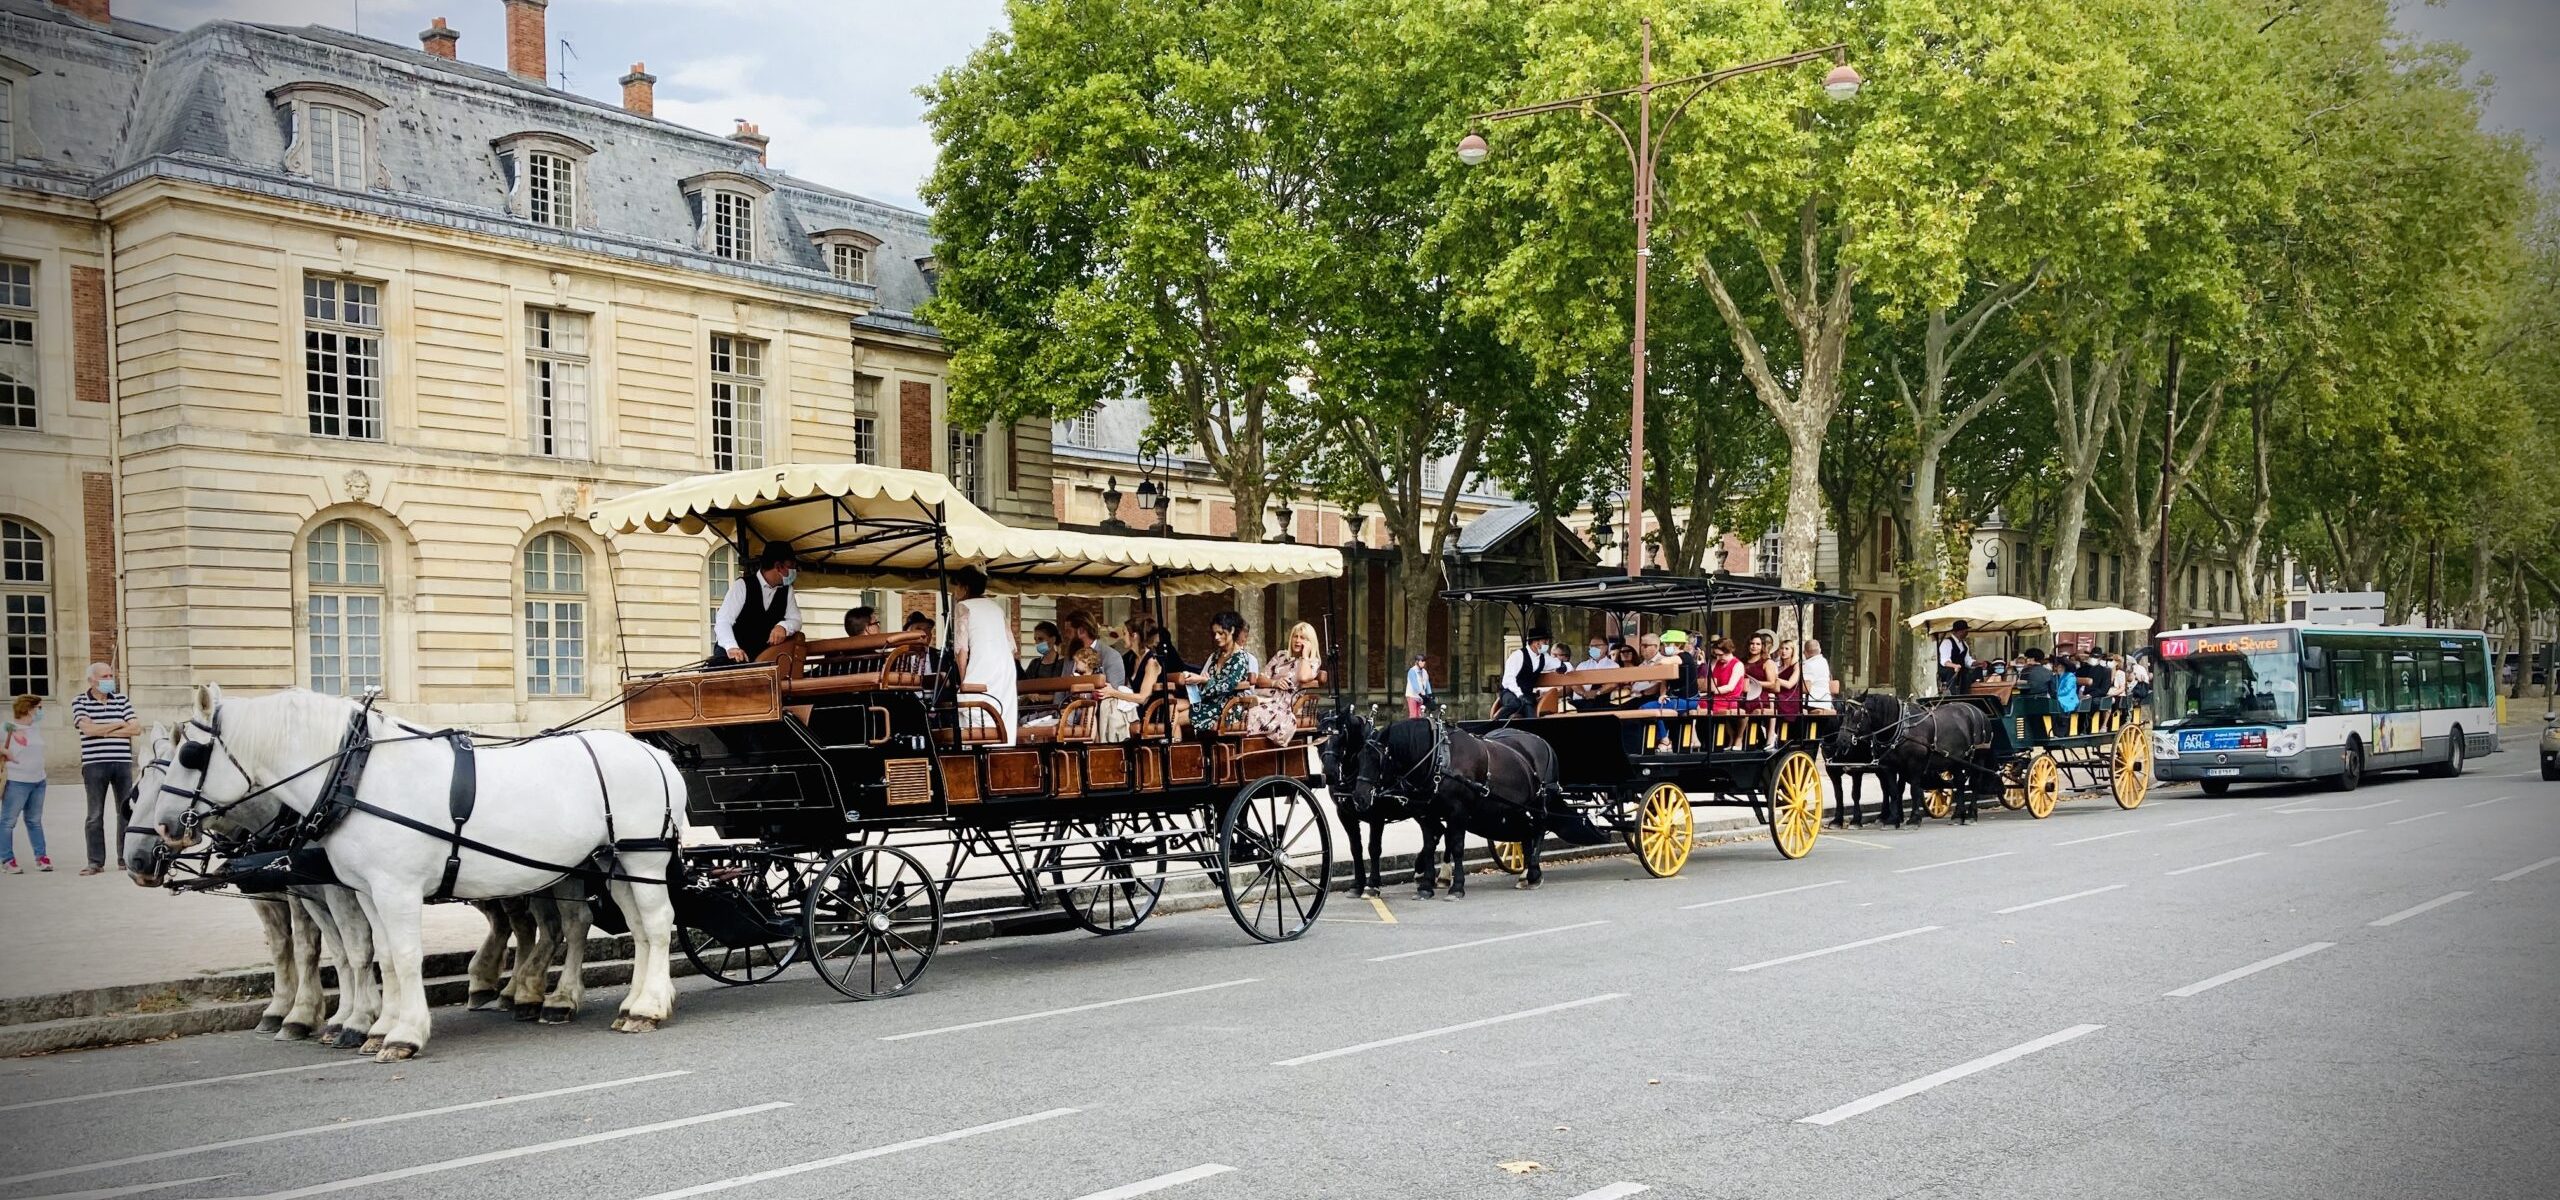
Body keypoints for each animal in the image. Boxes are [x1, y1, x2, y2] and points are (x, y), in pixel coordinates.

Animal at [140, 680, 680, 1059]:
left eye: (190, 754)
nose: (162, 831)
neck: (355, 778)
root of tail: (653, 753)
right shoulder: (364, 891)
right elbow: (377, 954)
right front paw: (378, 1027)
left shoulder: (393, 889)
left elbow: (401, 955)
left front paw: (403, 1032)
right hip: (614, 863)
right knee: (637, 929)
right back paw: (633, 1001)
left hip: (643, 858)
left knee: (655, 926)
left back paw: (646, 1006)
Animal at [1822, 690, 1904, 823]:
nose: (1841, 740)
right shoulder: (1832, 771)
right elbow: (1838, 794)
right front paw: (1837, 819)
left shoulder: (1857, 769)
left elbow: (1855, 794)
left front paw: (1856, 819)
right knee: (1886, 788)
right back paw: (1884, 814)